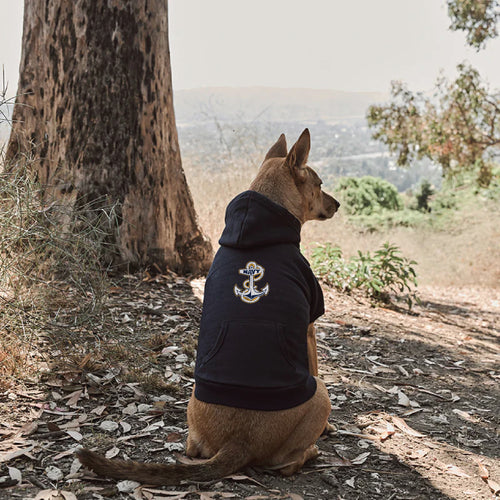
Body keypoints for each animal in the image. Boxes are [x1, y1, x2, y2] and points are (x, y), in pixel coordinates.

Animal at [77, 128, 340, 484]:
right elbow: (314, 362)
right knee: (285, 462)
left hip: (193, 406)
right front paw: (328, 430)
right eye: (319, 183)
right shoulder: (310, 328)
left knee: (193, 449)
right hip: (320, 393)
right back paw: (310, 452)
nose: (338, 204)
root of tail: (239, 442)